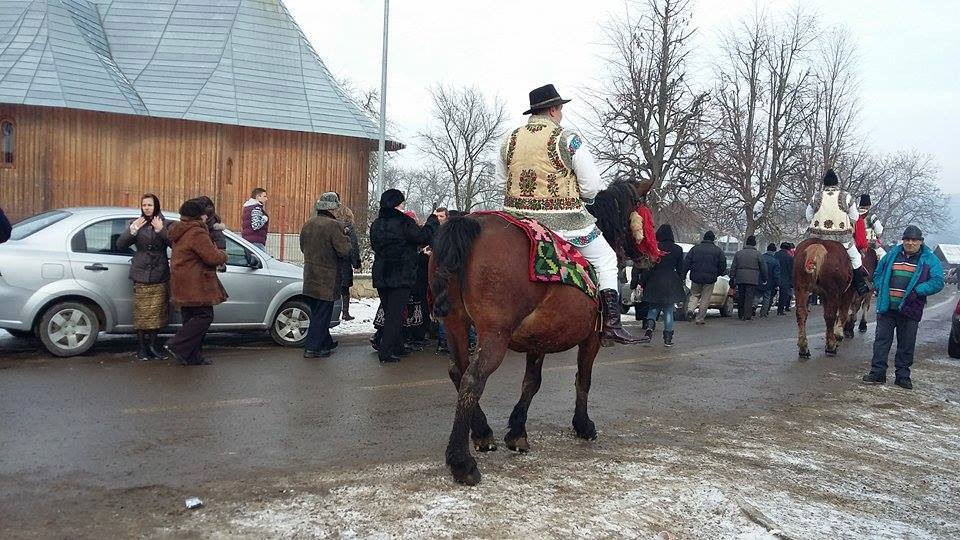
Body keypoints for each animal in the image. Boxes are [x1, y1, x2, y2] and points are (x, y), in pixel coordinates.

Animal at [430, 179, 644, 484]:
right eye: (641, 205)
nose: (645, 256)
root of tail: (469, 222)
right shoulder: (591, 339)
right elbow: (583, 379)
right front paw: (583, 425)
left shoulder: (539, 339)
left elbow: (531, 383)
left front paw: (518, 432)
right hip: (494, 334)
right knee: (472, 379)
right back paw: (462, 462)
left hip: (455, 325)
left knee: (458, 371)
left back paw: (482, 432)